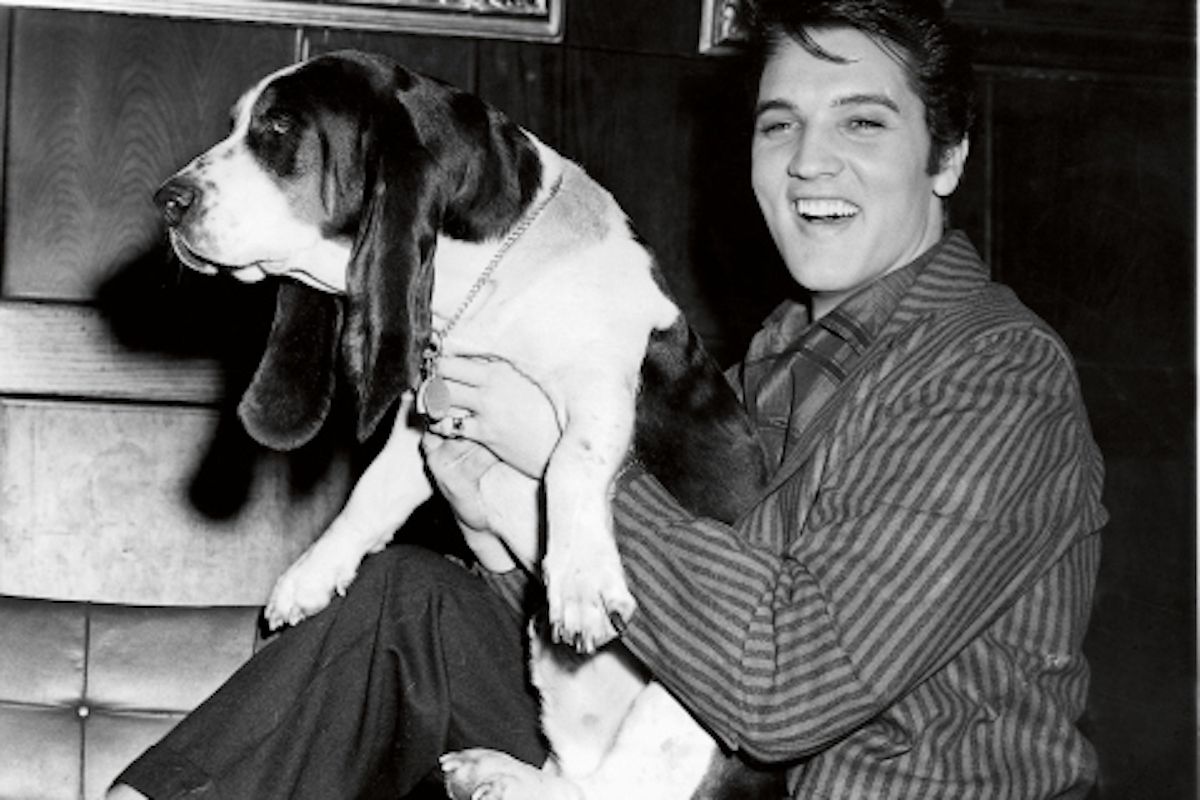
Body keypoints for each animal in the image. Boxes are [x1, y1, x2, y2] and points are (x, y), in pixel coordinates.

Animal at [154, 51, 777, 800]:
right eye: (239, 123)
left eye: (278, 127)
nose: (166, 200)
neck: (492, 276)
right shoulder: (425, 423)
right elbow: (368, 497)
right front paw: (311, 575)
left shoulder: (597, 381)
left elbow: (571, 463)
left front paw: (579, 581)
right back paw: (497, 770)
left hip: (678, 723)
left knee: (615, 789)